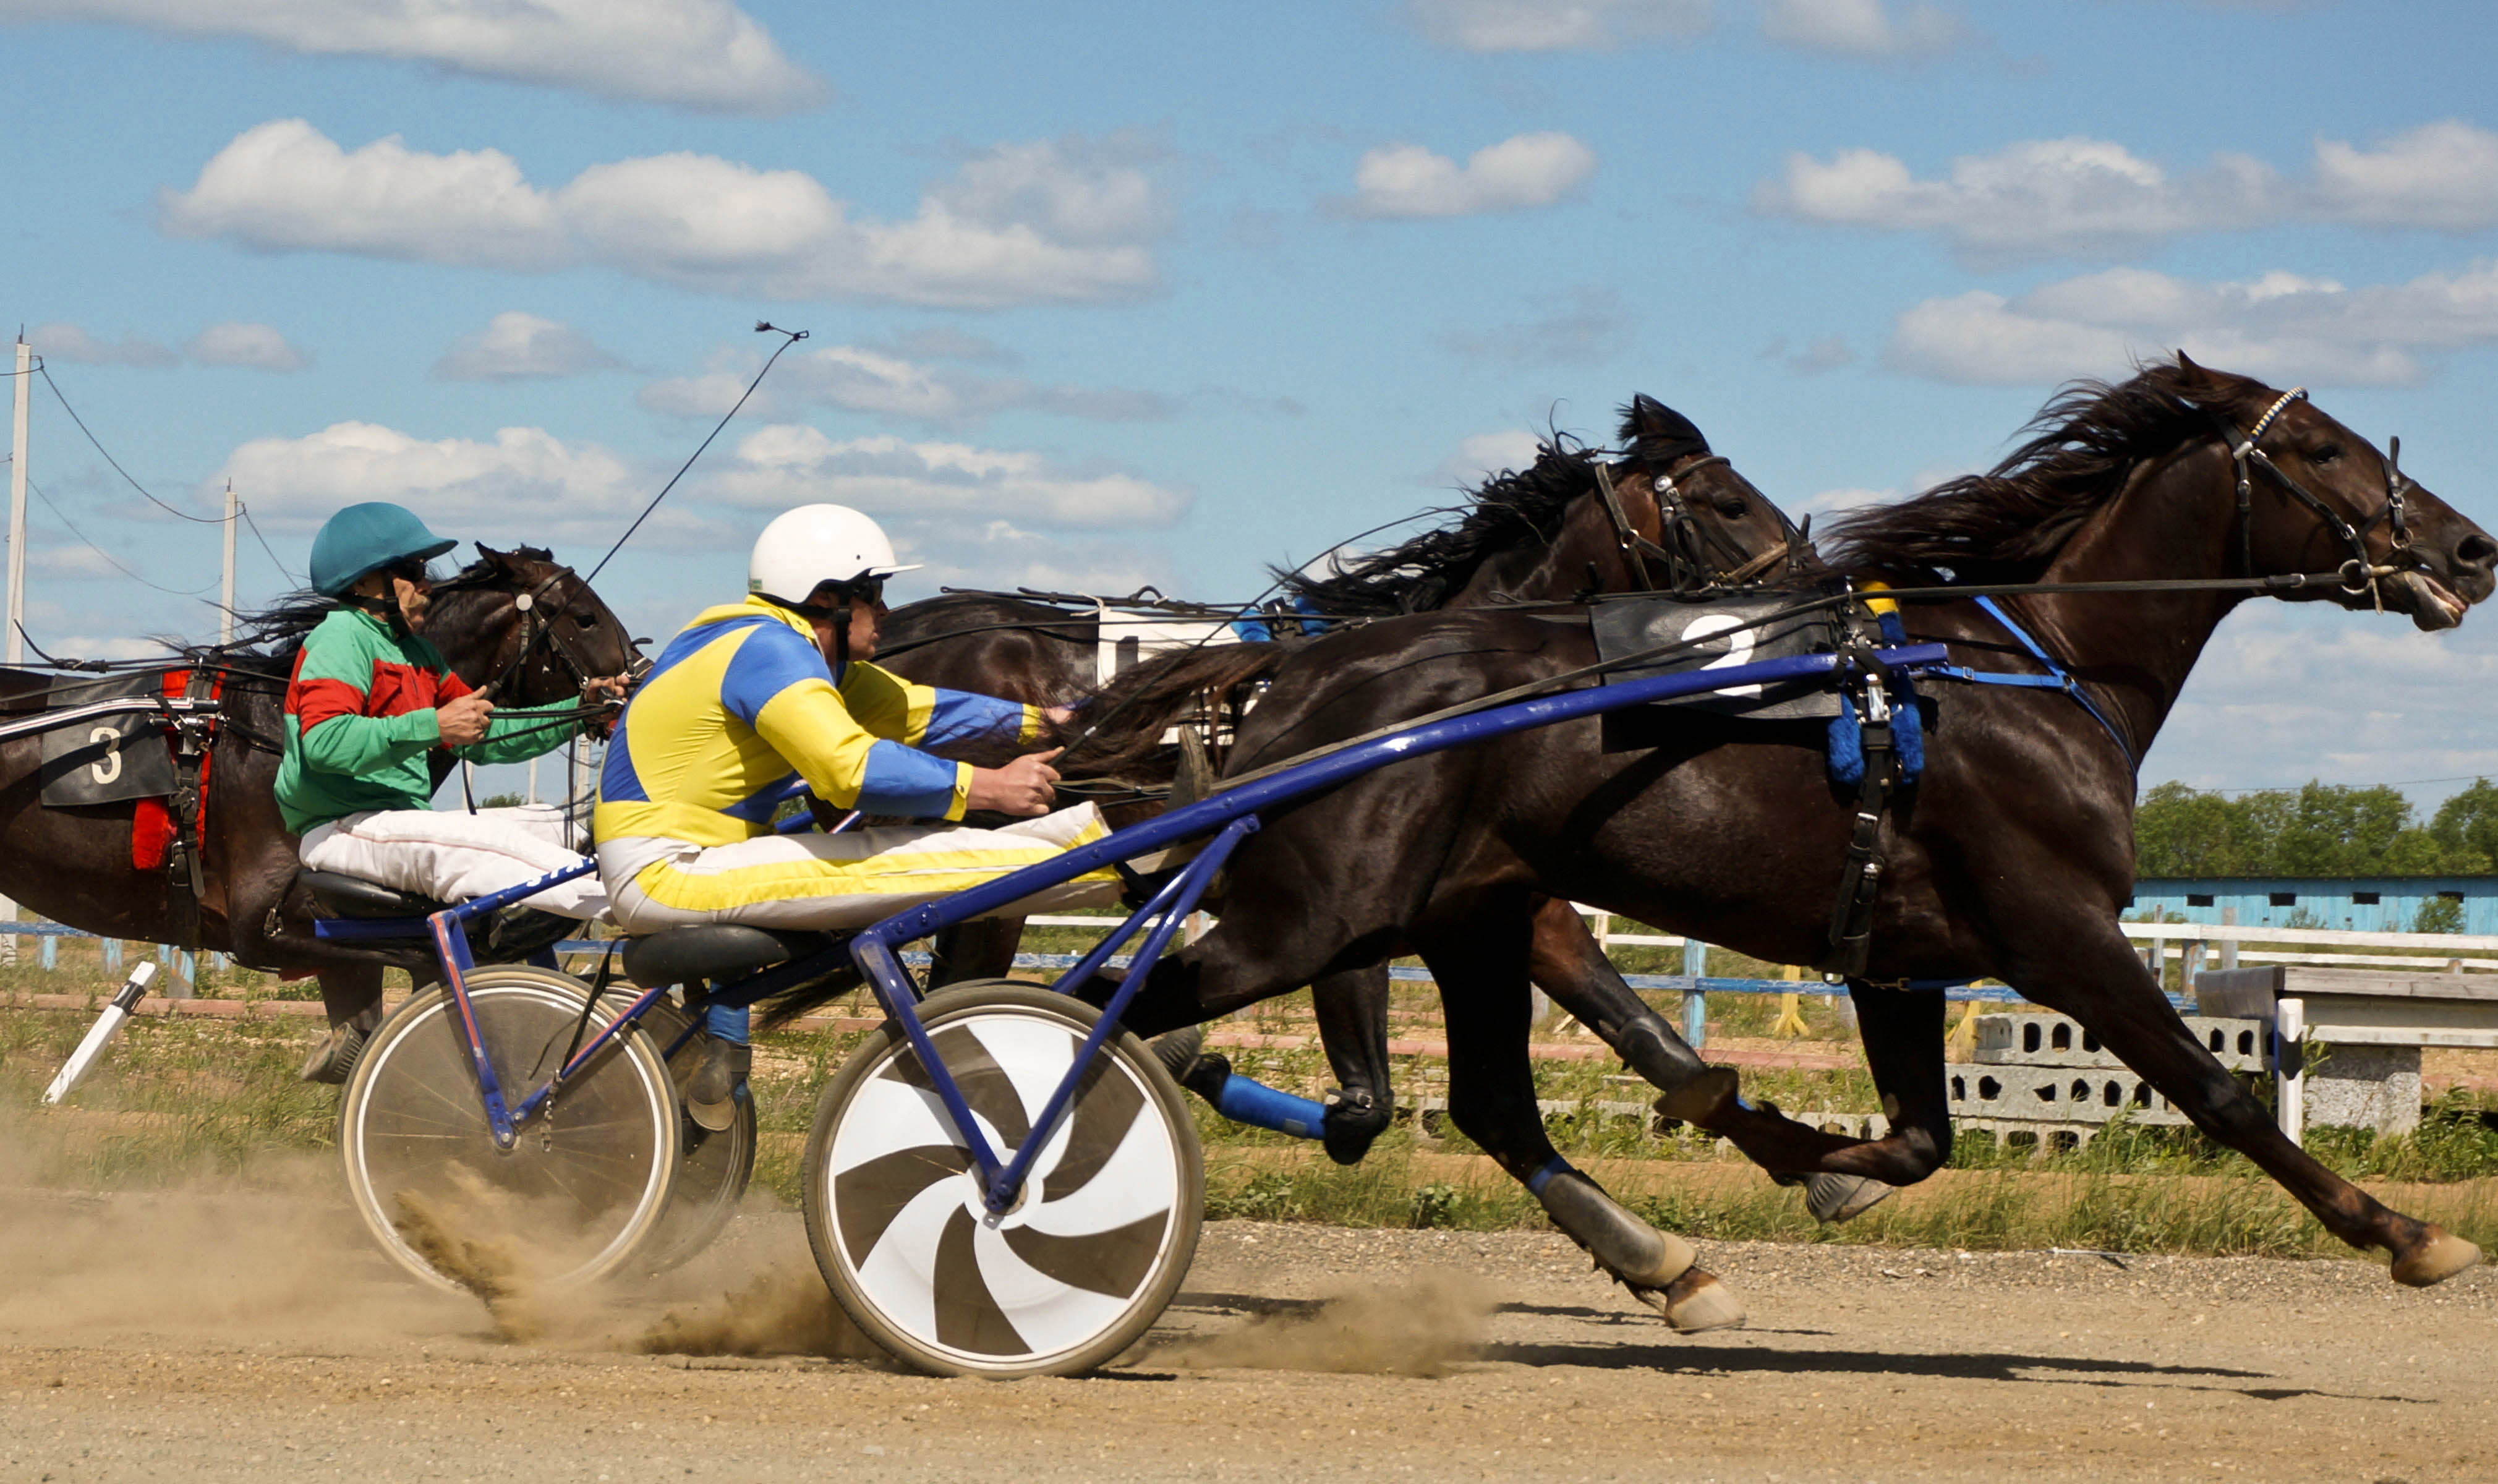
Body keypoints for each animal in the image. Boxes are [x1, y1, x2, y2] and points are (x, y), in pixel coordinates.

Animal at [1089, 357, 2498, 1309]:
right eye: (2319, 448)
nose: (2471, 547)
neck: (2023, 666)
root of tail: (1299, 672)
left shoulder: (1899, 955)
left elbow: (1920, 1137)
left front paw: (1812, 1160)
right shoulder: (2058, 934)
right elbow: (2218, 1092)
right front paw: (2409, 1236)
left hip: (1462, 916)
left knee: (1489, 1101)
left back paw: (1670, 1267)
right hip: (1318, 917)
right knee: (1113, 1001)